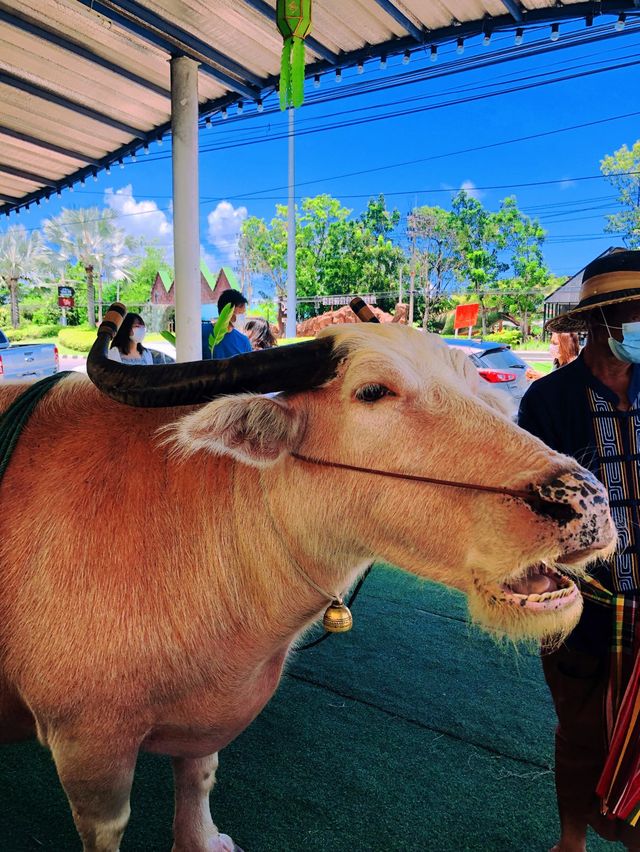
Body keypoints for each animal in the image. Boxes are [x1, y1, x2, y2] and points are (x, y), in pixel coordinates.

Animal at [0, 308, 616, 852]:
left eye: (479, 393)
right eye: (372, 392)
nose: (585, 501)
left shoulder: (212, 714)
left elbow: (199, 774)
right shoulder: (88, 748)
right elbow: (108, 827)